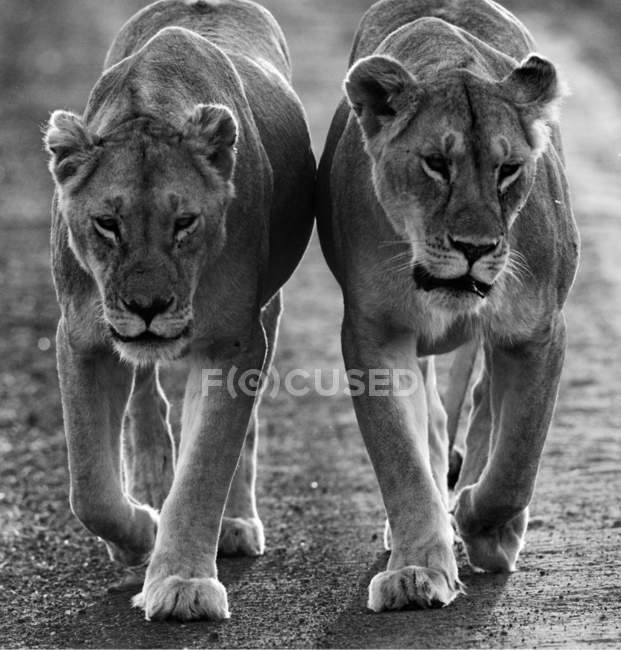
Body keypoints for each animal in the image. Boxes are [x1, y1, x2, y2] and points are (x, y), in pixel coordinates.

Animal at [44, 0, 314, 616]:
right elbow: (88, 486)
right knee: (145, 397)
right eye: (107, 224)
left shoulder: (236, 341)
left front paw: (181, 582)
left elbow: (205, 467)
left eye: (184, 223)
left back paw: (234, 523)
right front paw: (140, 531)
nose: (147, 306)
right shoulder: (82, 338)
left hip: (268, 308)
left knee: (241, 431)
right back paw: (149, 483)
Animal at [318, 0, 580, 612]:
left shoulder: (539, 332)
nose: (475, 248)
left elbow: (517, 459)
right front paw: (417, 569)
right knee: (439, 421)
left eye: (509, 170)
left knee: (486, 406)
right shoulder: (374, 333)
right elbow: (402, 458)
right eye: (436, 163)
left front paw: (485, 527)